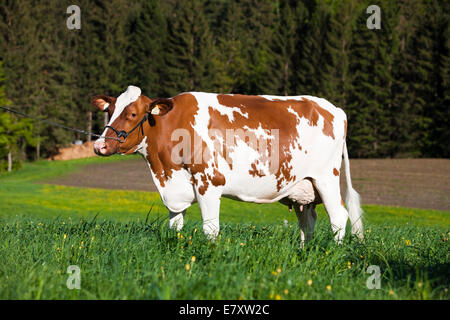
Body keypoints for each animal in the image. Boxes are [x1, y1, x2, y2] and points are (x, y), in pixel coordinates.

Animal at [91, 86, 362, 244]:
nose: (100, 146)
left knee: (339, 217)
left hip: (325, 178)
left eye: (133, 114)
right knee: (308, 221)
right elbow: (175, 226)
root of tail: (333, 108)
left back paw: (332, 251)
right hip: (302, 187)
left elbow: (210, 228)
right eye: (111, 110)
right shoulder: (175, 185)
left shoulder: (209, 181)